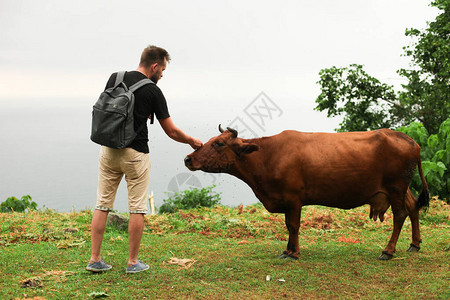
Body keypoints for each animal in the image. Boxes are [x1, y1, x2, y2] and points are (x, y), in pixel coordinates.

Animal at [185, 125, 430, 260]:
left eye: (218, 143)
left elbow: (293, 225)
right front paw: (287, 250)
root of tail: (409, 140)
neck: (267, 156)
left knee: (400, 215)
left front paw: (294, 253)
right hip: (401, 188)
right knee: (413, 207)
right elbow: (288, 226)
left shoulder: (293, 198)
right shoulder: (285, 199)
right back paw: (414, 245)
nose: (188, 158)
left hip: (396, 187)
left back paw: (388, 251)